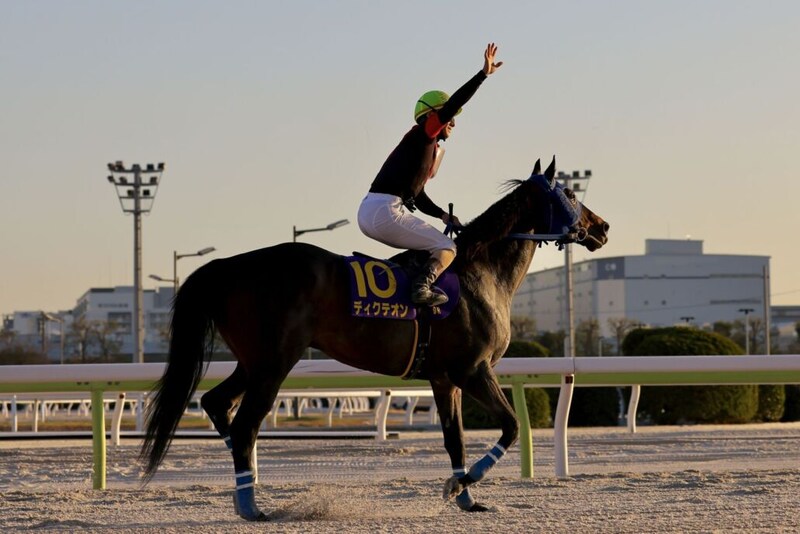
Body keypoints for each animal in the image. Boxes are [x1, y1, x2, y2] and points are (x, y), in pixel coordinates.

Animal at [140, 156, 609, 520]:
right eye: (570, 192)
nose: (602, 227)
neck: (480, 272)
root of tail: (227, 266)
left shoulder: (444, 379)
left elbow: (454, 438)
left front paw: (465, 496)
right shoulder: (472, 371)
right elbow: (510, 426)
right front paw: (459, 486)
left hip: (252, 361)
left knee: (217, 404)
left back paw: (248, 484)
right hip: (274, 363)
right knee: (244, 425)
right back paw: (251, 504)